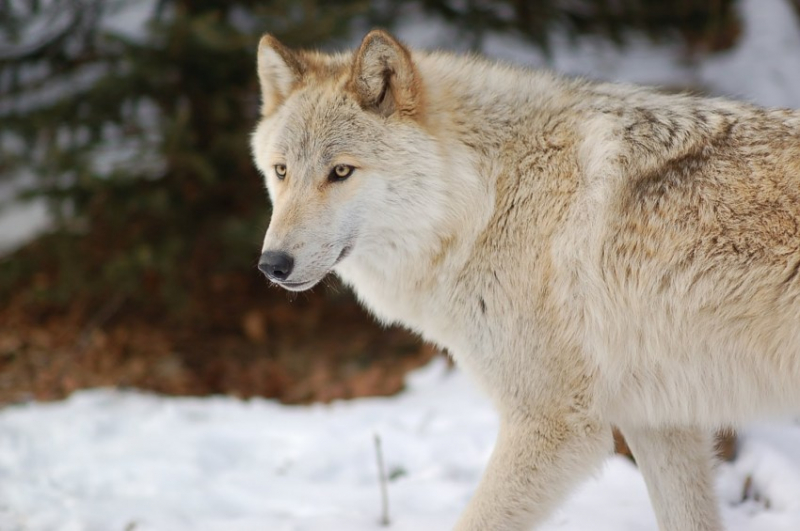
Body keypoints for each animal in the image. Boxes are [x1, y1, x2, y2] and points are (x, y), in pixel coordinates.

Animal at [250, 30, 800, 531]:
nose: (272, 265)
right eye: (281, 171)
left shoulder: (552, 425)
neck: (487, 198)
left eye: (341, 172)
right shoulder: (661, 421)